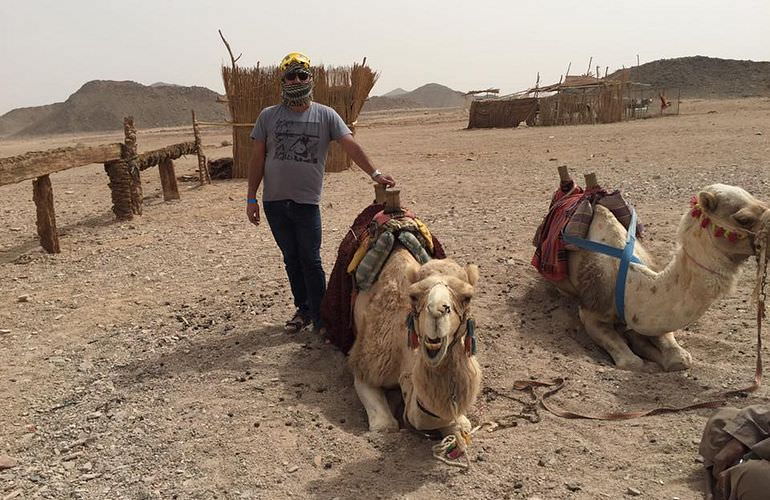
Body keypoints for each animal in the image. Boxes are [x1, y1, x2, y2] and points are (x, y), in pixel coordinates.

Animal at [350, 246, 480, 446]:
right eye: (414, 295)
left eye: (467, 297)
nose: (437, 310)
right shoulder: (367, 365)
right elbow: (385, 426)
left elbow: (459, 425)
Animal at [556, 184, 764, 372]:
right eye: (744, 219)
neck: (630, 284)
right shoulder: (591, 312)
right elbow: (632, 362)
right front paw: (644, 358)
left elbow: (679, 358)